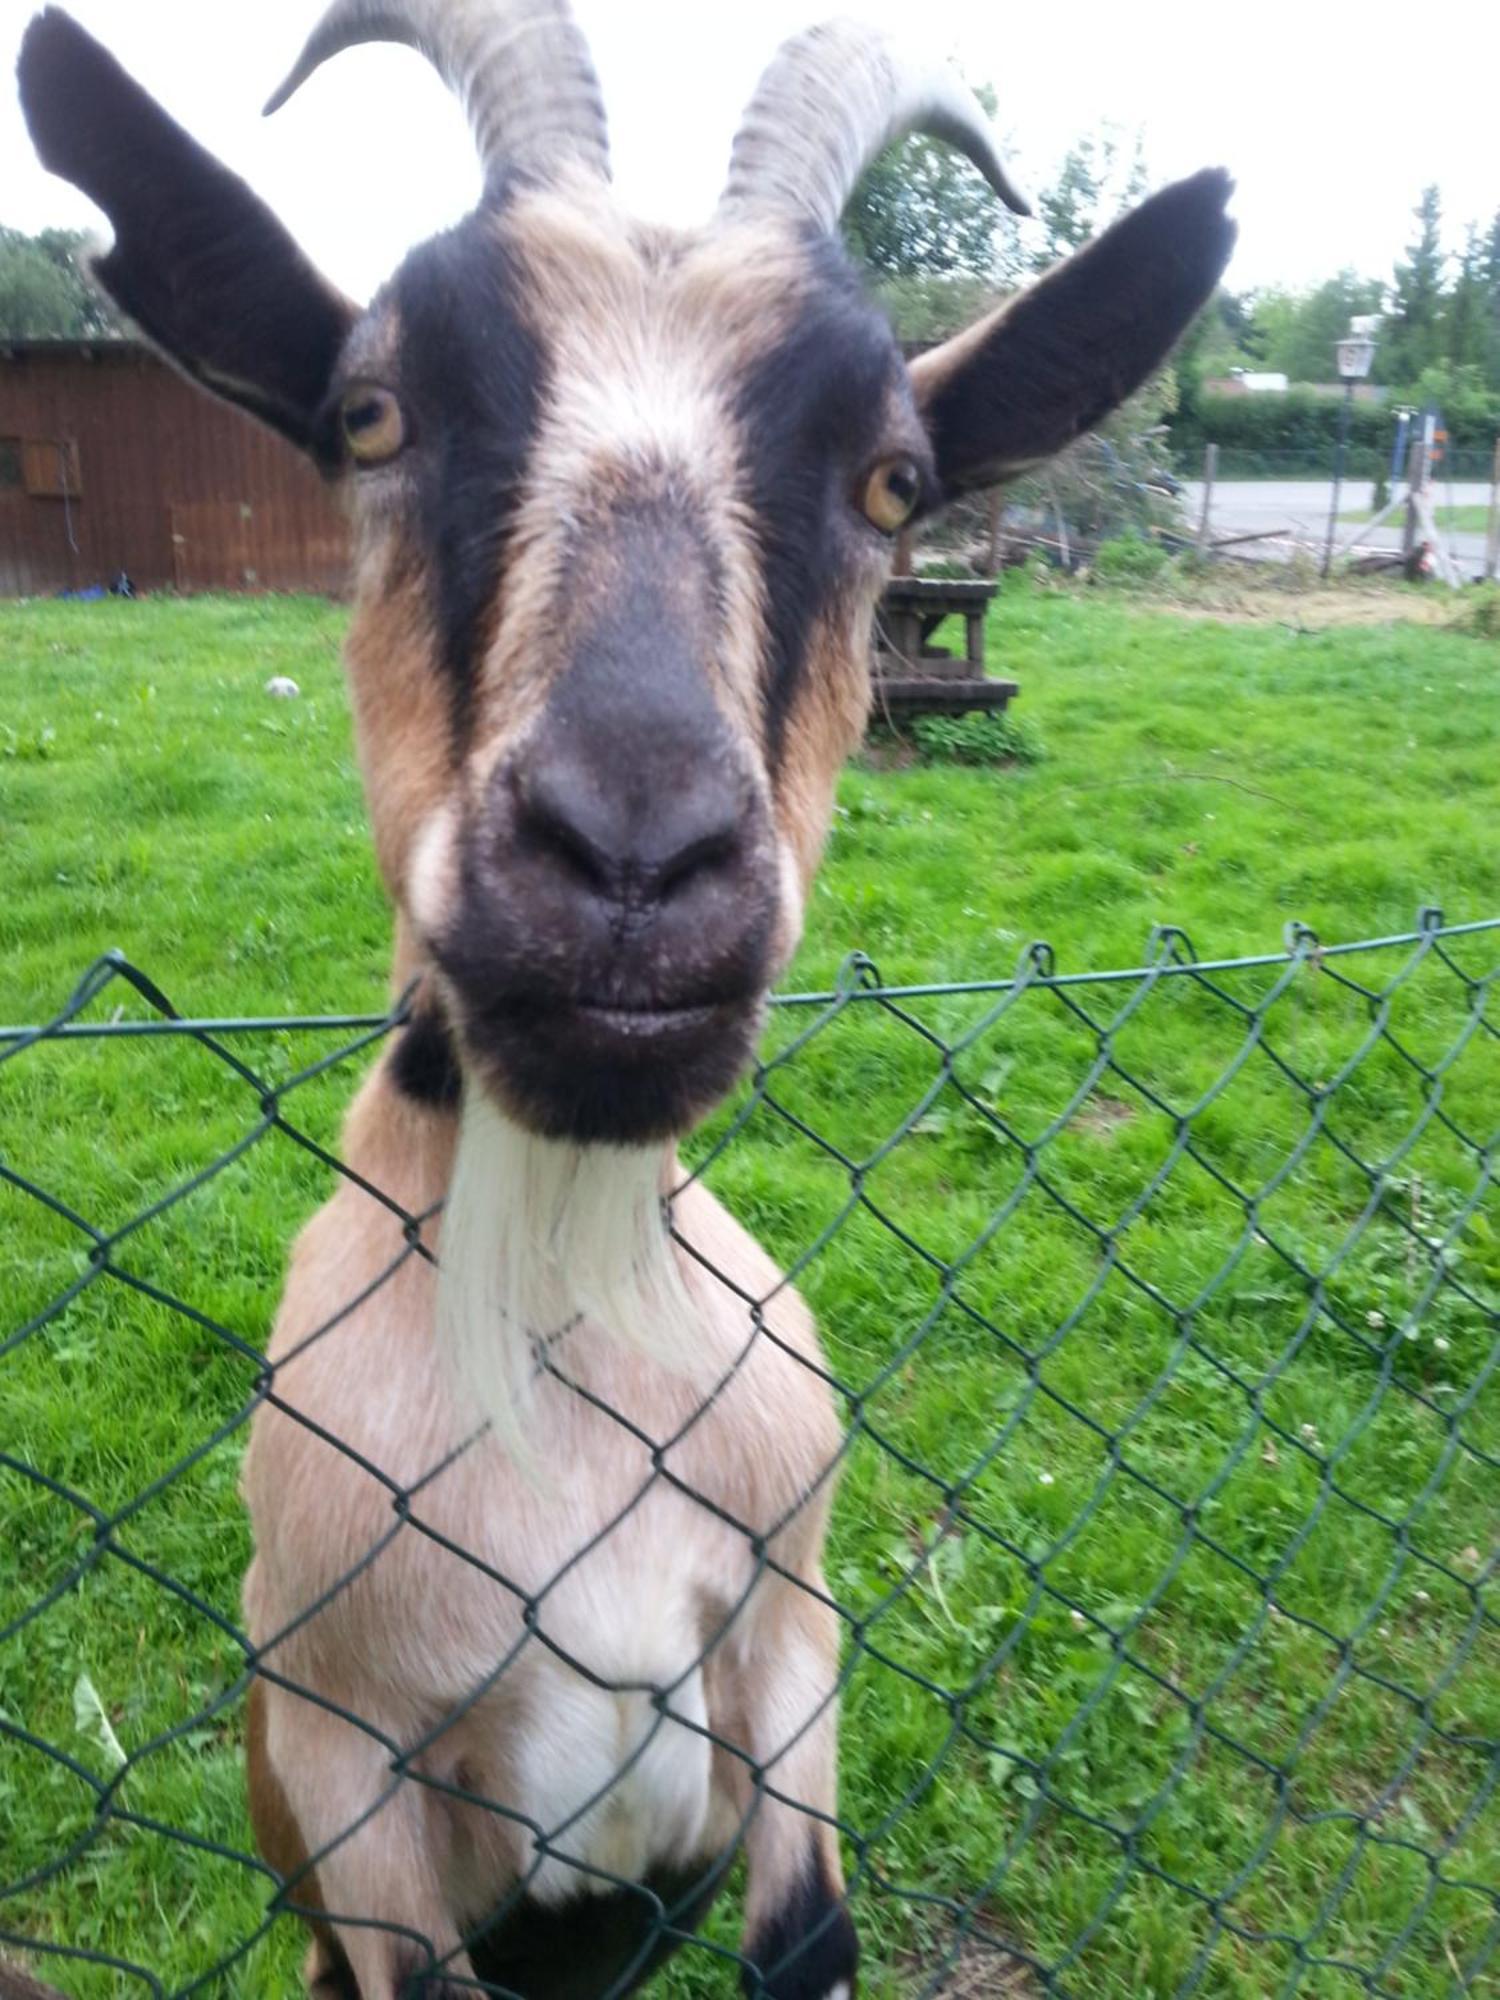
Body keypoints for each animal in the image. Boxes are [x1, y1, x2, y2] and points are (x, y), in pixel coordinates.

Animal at [14, 7, 1232, 1992]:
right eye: (373, 410)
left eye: (895, 478)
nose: (636, 860)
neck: (570, 1383)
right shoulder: (345, 1764)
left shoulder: (795, 1626)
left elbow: (805, 1932)